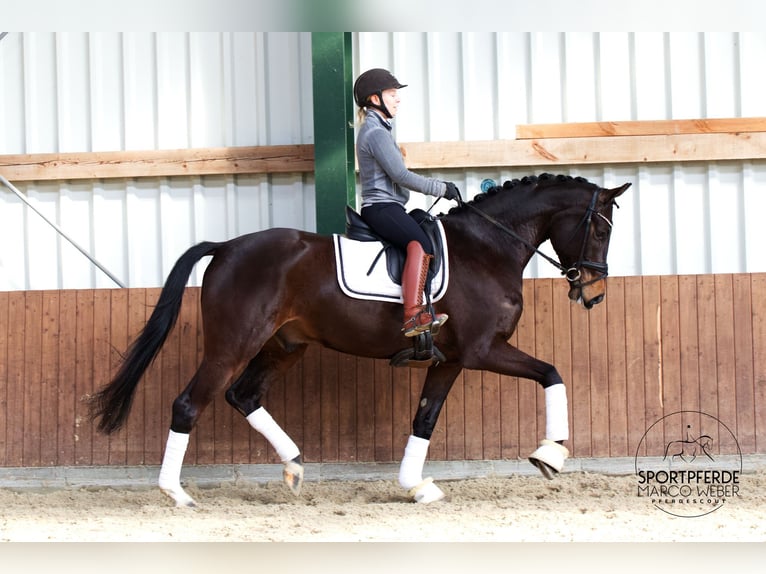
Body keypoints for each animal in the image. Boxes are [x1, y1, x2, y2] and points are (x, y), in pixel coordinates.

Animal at [88, 172, 632, 508]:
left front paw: (416, 487)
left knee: (243, 395)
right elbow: (552, 373)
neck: (487, 247)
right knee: (189, 403)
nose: (595, 293)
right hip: (232, 346)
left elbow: (425, 419)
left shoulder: (452, 358)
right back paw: (177, 494)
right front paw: (550, 455)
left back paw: (294, 467)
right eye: (601, 230)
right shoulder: (483, 351)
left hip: (284, 346)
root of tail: (225, 248)